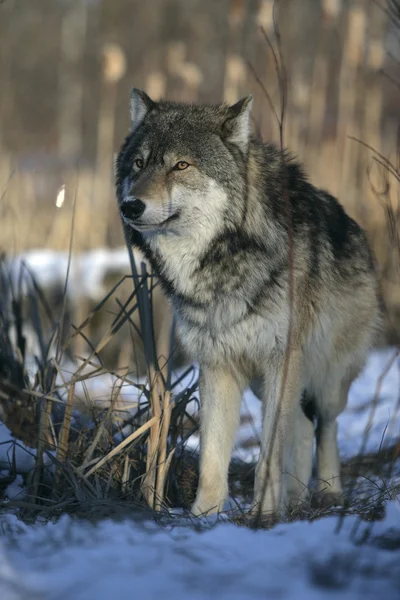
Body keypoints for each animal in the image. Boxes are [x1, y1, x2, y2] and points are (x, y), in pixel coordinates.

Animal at [115, 88, 382, 516]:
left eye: (181, 165)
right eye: (139, 163)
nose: (130, 206)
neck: (225, 260)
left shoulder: (281, 361)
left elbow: (269, 454)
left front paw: (263, 515)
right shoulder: (217, 365)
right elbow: (212, 456)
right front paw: (204, 515)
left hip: (327, 379)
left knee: (326, 426)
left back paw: (327, 493)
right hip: (267, 383)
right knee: (301, 426)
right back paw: (296, 499)